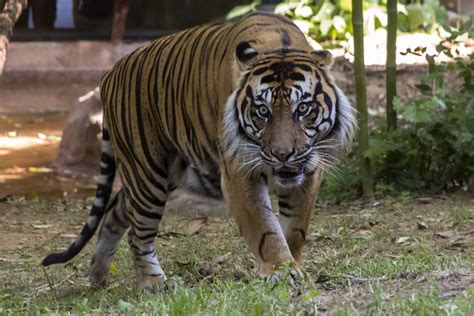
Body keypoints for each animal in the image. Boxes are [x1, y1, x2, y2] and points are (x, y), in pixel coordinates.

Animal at [43, 11, 356, 292]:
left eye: (303, 109)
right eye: (262, 112)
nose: (282, 154)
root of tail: (109, 73)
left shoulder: (310, 168)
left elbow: (295, 227)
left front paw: (293, 264)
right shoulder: (239, 172)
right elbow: (266, 229)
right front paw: (279, 270)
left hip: (165, 173)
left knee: (114, 212)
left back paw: (98, 276)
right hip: (146, 173)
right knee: (137, 232)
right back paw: (153, 283)